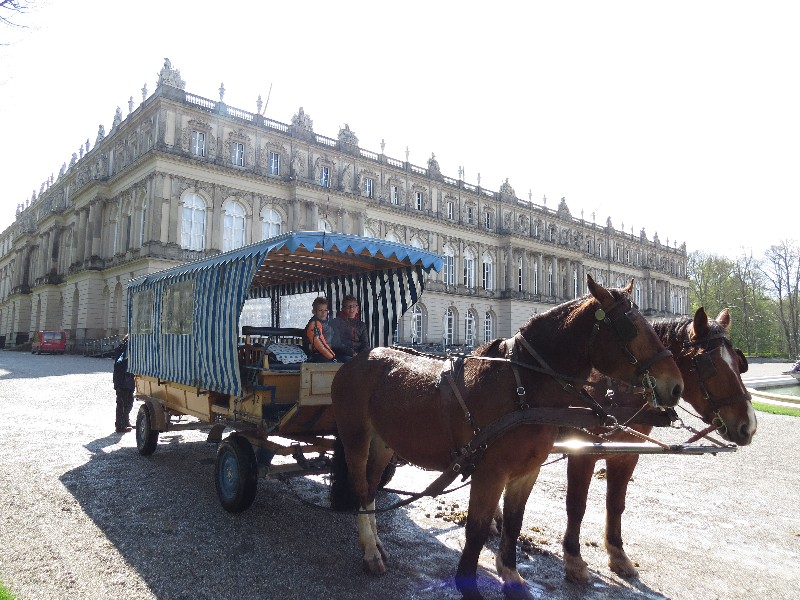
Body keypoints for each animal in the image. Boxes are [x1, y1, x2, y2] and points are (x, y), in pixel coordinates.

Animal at [328, 276, 684, 600]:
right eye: (630, 327)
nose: (675, 385)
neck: (522, 386)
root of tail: (360, 358)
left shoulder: (527, 472)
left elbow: (514, 522)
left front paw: (512, 576)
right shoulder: (490, 472)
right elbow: (476, 529)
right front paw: (469, 586)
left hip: (384, 443)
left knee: (371, 488)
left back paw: (375, 544)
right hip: (356, 438)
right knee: (360, 489)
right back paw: (370, 552)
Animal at [564, 310, 756, 580]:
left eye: (739, 364)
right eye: (710, 365)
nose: (748, 425)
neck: (615, 391)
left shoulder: (625, 456)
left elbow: (616, 504)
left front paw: (617, 553)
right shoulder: (581, 453)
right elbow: (576, 504)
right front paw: (573, 557)